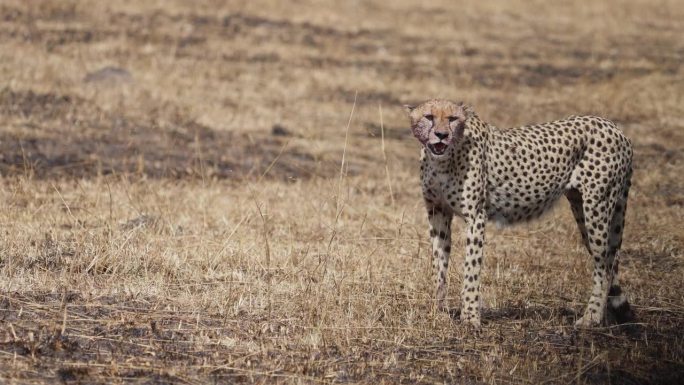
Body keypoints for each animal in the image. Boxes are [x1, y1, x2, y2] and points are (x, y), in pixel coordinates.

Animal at [404, 97, 632, 326]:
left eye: (452, 118)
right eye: (429, 117)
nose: (441, 134)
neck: (443, 160)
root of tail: (614, 128)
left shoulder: (476, 216)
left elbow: (471, 269)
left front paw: (470, 317)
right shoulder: (438, 212)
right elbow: (439, 264)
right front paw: (438, 312)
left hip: (597, 206)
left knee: (604, 265)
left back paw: (591, 317)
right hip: (581, 207)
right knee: (610, 260)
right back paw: (608, 317)